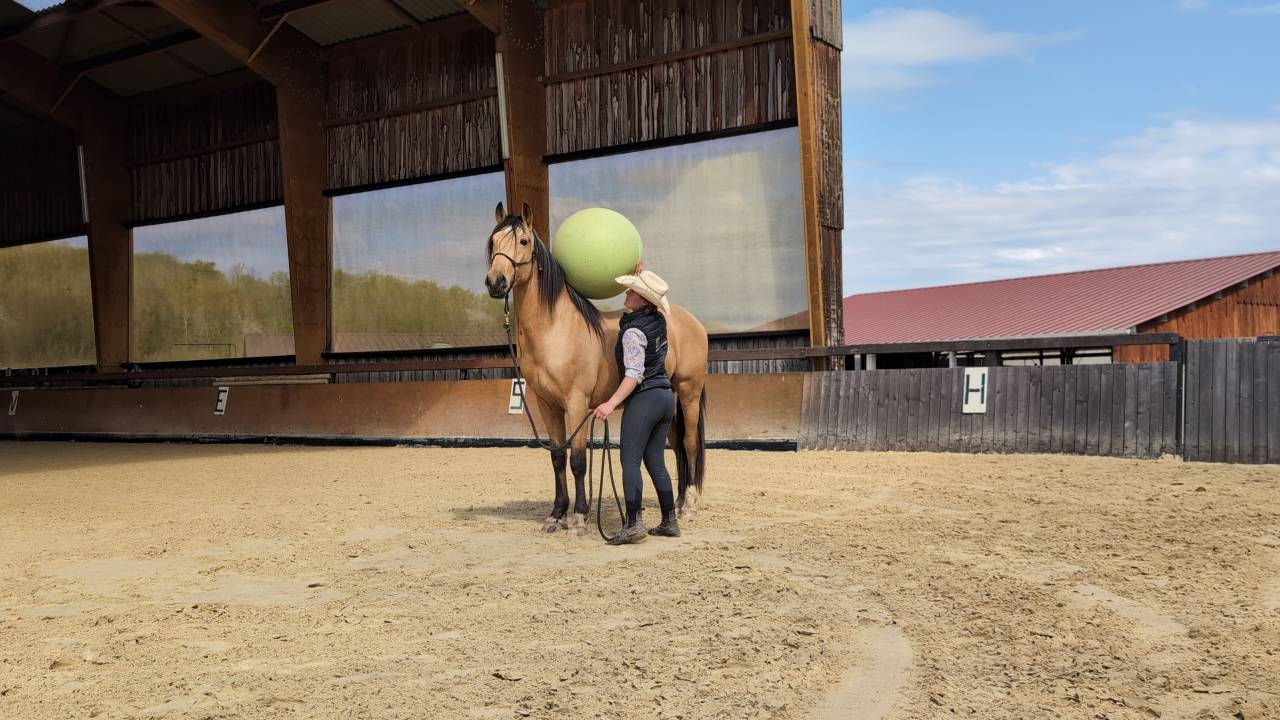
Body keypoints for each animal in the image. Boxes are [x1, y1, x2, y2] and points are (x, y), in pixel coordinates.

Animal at [484, 202, 708, 536]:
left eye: (523, 241)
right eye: (492, 241)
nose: (495, 282)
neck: (556, 329)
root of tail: (691, 321)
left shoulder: (576, 404)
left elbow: (578, 460)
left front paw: (579, 518)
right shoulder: (547, 406)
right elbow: (557, 457)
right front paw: (556, 516)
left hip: (689, 391)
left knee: (689, 444)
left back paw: (690, 507)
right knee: (677, 448)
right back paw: (679, 504)